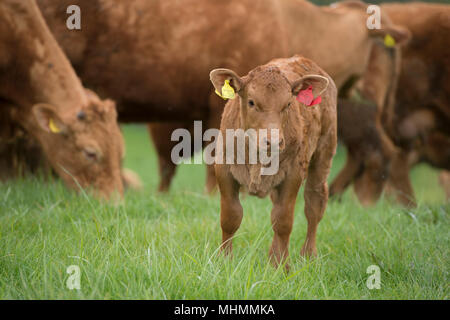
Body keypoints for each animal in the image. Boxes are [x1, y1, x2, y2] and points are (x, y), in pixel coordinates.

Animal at [209, 55, 336, 268]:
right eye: (251, 102)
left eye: (288, 104)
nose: (273, 141)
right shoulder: (224, 169)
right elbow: (230, 217)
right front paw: (224, 260)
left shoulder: (294, 174)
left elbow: (283, 221)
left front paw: (282, 267)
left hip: (323, 154)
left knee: (314, 205)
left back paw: (308, 255)